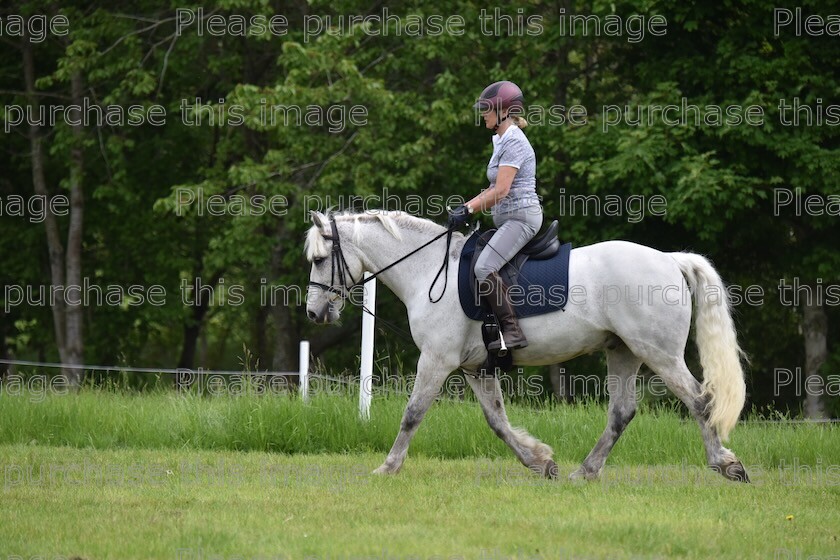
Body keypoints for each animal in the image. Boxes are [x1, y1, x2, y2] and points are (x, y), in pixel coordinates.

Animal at [306, 210, 752, 482]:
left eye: (319, 259)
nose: (314, 313)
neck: (429, 270)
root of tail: (670, 259)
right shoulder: (476, 368)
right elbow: (497, 422)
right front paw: (540, 462)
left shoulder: (436, 360)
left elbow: (413, 414)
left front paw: (388, 467)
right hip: (623, 351)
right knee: (622, 412)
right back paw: (585, 472)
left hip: (660, 353)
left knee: (700, 402)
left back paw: (726, 464)